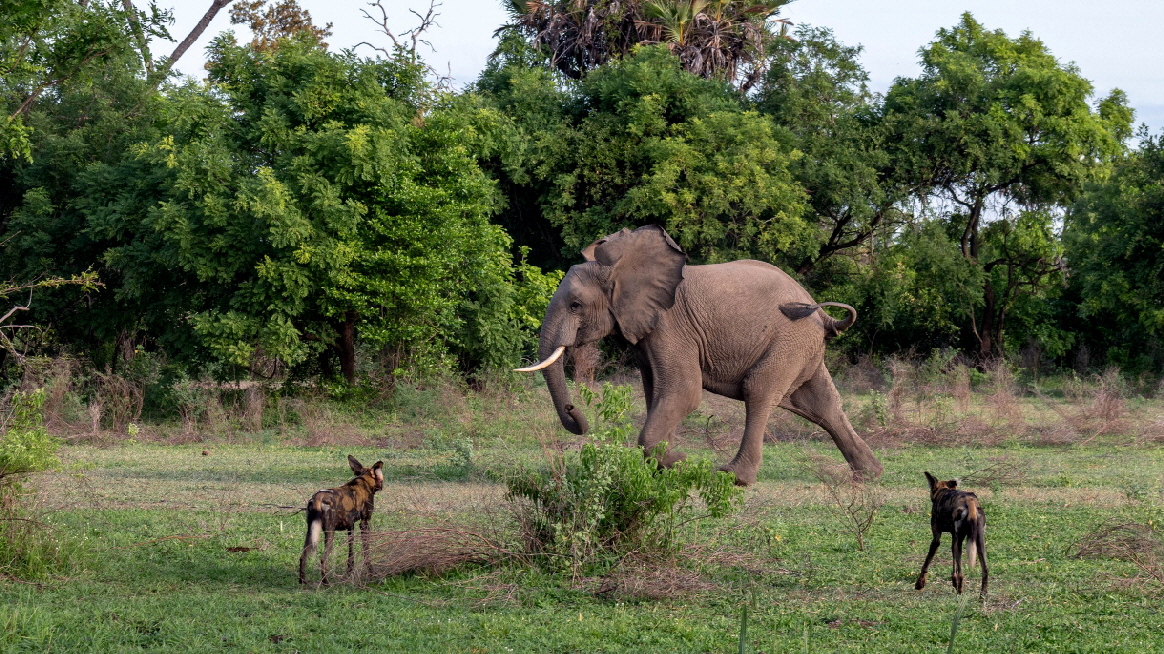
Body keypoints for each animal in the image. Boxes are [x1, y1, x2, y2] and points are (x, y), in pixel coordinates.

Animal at [297, 451, 384, 581]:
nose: (382, 486)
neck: (364, 480)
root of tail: (317, 497)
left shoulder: (350, 527)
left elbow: (351, 552)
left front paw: (349, 572)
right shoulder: (364, 523)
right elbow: (366, 550)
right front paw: (371, 572)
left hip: (311, 533)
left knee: (303, 557)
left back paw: (303, 582)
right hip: (329, 534)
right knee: (323, 559)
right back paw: (326, 582)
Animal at [519, 223, 879, 484]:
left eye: (575, 305)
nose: (574, 412)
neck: (622, 268)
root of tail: (821, 314)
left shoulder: (671, 325)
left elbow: (683, 392)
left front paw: (677, 462)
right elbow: (656, 393)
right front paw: (668, 462)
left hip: (790, 339)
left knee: (759, 390)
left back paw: (733, 477)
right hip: (802, 345)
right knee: (821, 403)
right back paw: (870, 474)